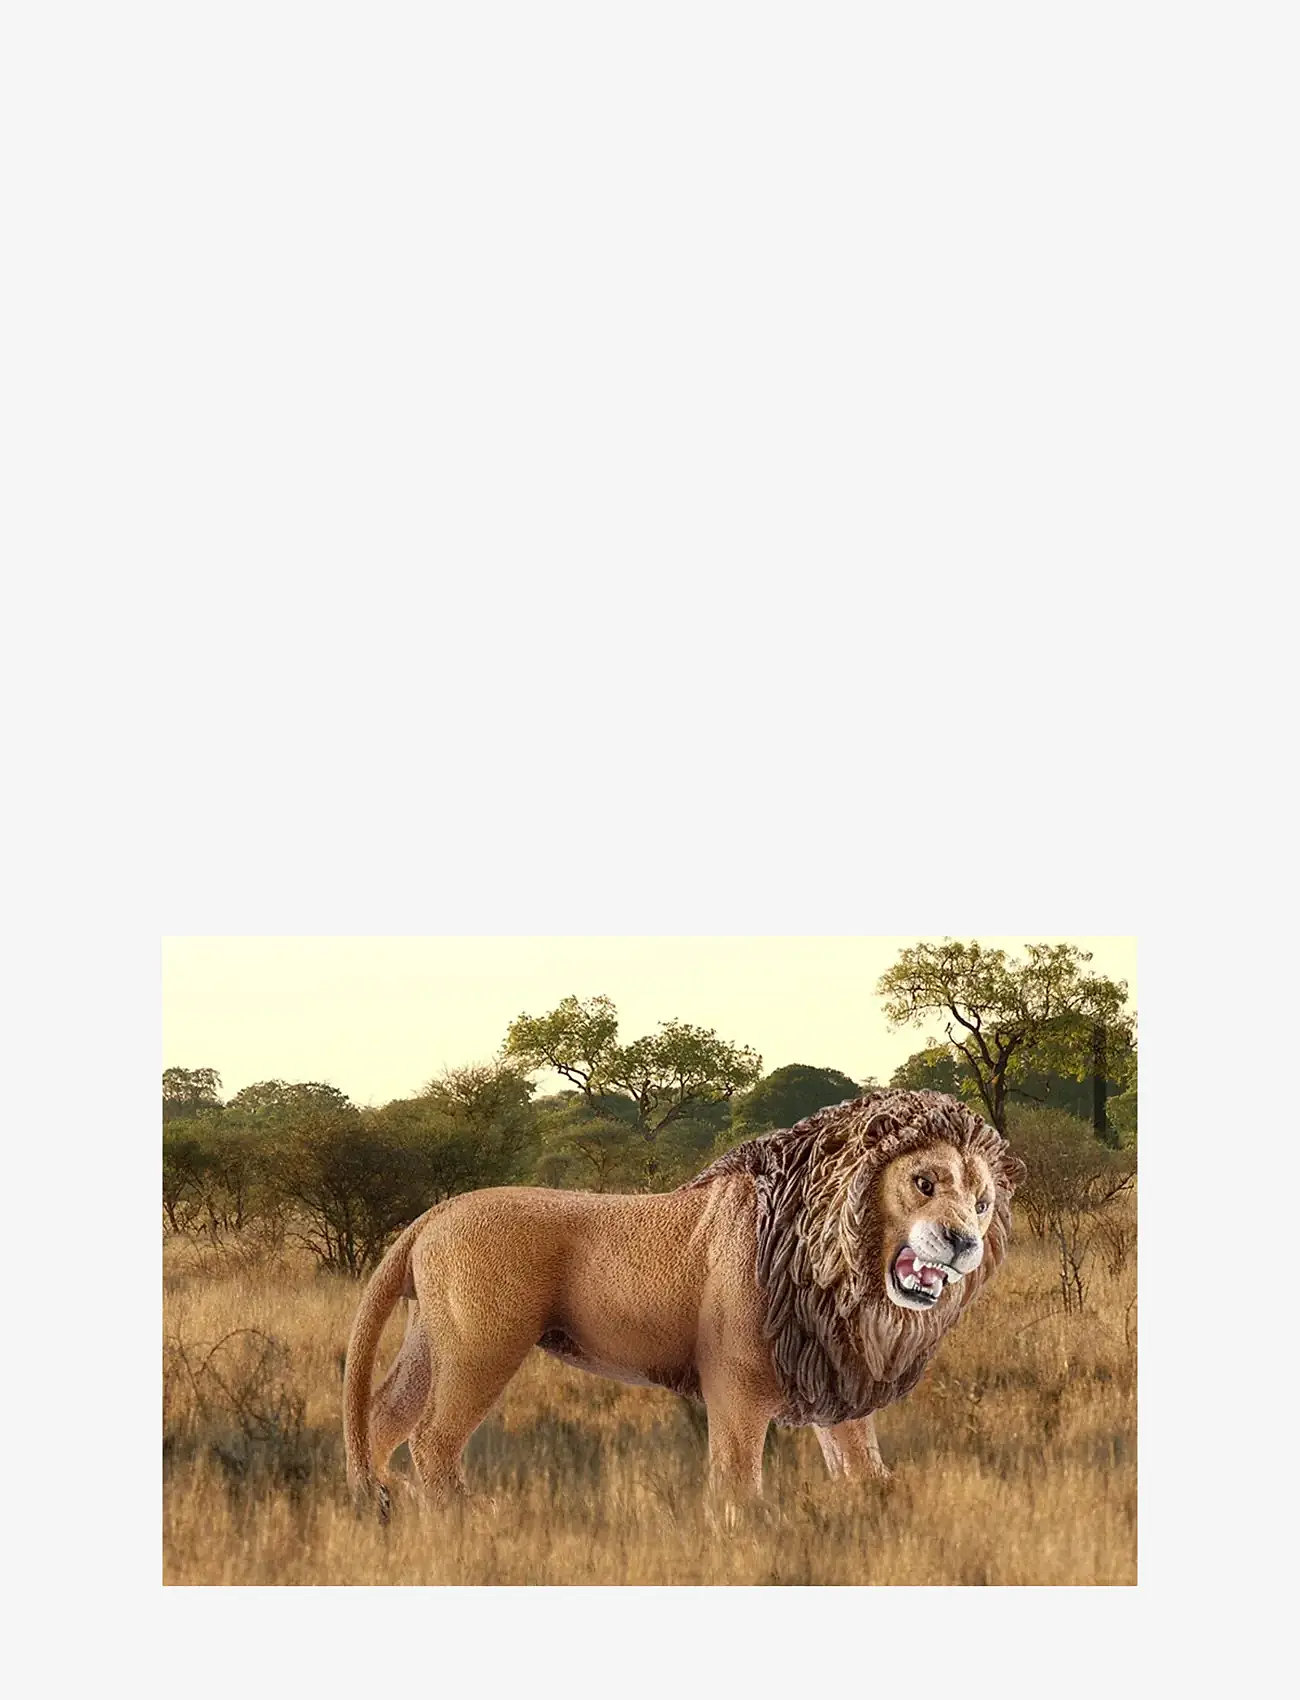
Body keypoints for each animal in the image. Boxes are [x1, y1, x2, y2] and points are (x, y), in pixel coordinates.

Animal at [342, 1088, 1024, 1511]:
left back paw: (387, 1502)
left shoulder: (833, 1371)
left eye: (982, 1202)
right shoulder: (737, 1382)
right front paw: (746, 1531)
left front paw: (877, 1499)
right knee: (431, 1437)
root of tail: (435, 1213)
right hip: (483, 1348)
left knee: (384, 1415)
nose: (965, 1241)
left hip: (433, 1340)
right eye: (924, 1182)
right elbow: (737, 1475)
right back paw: (463, 1515)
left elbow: (858, 1456)